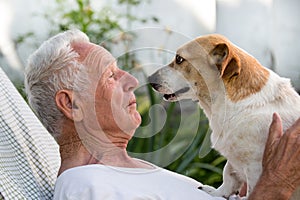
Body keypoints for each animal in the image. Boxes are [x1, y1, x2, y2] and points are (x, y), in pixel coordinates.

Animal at [148, 34, 300, 198]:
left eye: (179, 59)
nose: (149, 78)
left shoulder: (255, 166)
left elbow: (249, 189)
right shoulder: (233, 162)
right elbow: (228, 175)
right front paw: (217, 192)